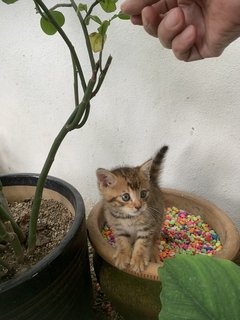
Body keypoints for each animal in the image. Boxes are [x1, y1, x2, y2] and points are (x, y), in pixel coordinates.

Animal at [96, 146, 169, 274]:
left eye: (143, 194)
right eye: (126, 197)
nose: (138, 206)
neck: (127, 217)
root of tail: (152, 182)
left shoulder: (147, 226)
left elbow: (142, 243)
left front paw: (138, 259)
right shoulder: (118, 227)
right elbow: (122, 241)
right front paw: (123, 254)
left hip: (158, 219)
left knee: (154, 239)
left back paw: (153, 253)